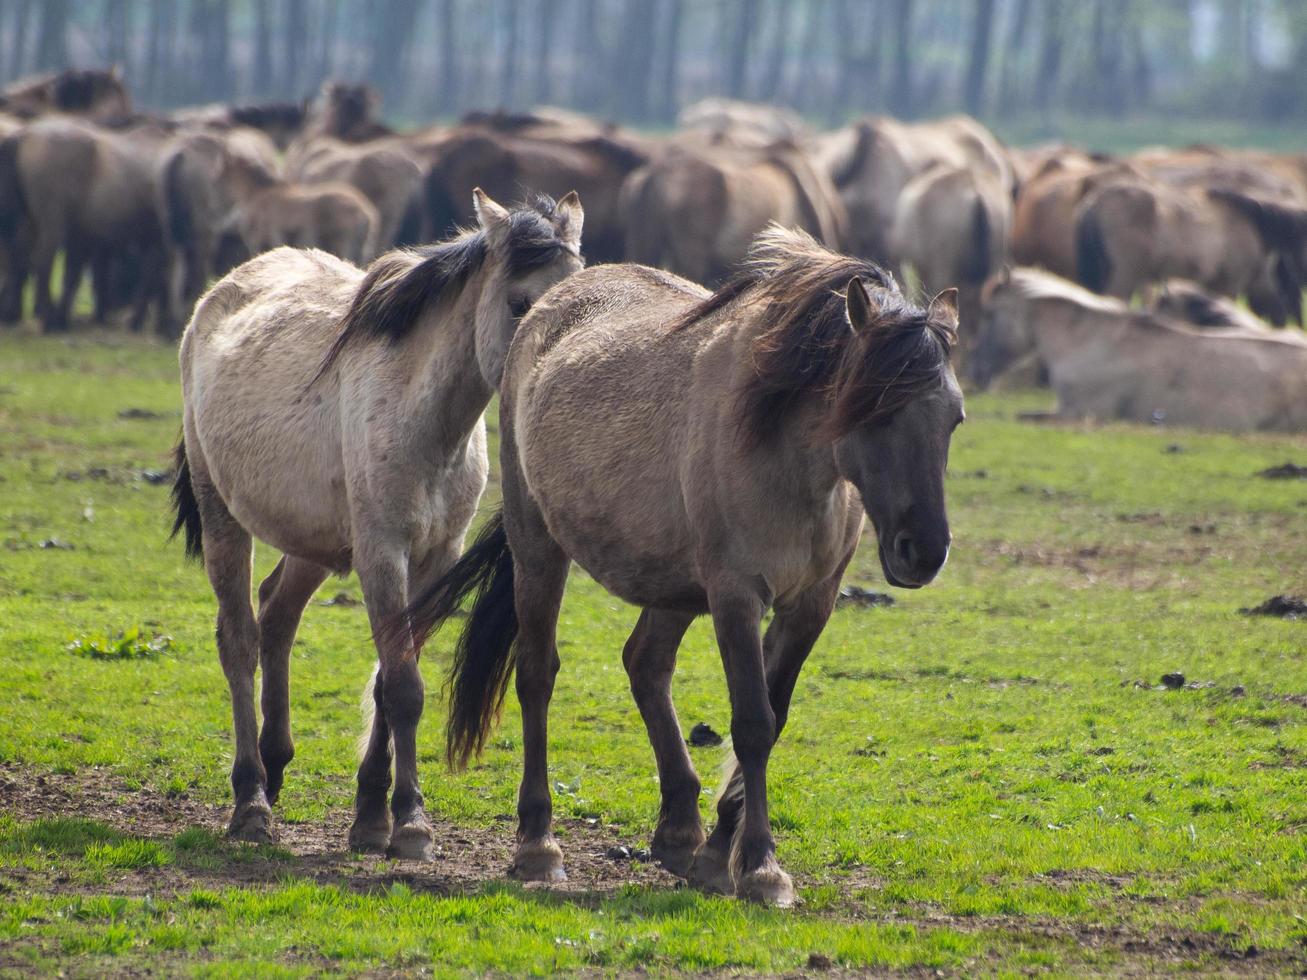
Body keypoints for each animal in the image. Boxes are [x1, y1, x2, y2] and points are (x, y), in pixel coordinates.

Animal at [167, 188, 582, 857]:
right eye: (521, 302)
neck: (424, 418)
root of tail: (217, 295)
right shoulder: (382, 555)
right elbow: (404, 688)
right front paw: (410, 822)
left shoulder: (434, 562)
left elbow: (393, 681)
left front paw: (370, 817)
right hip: (224, 518)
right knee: (239, 642)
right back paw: (251, 800)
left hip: (314, 541)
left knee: (276, 613)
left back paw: (275, 764)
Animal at [407, 226, 961, 909]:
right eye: (873, 410)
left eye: (954, 418)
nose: (924, 551)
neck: (791, 455)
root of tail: (552, 304)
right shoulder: (736, 596)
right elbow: (752, 723)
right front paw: (761, 867)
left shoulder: (811, 606)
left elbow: (773, 717)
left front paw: (720, 853)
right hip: (539, 548)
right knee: (537, 675)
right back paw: (539, 844)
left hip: (671, 588)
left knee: (645, 664)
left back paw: (678, 831)